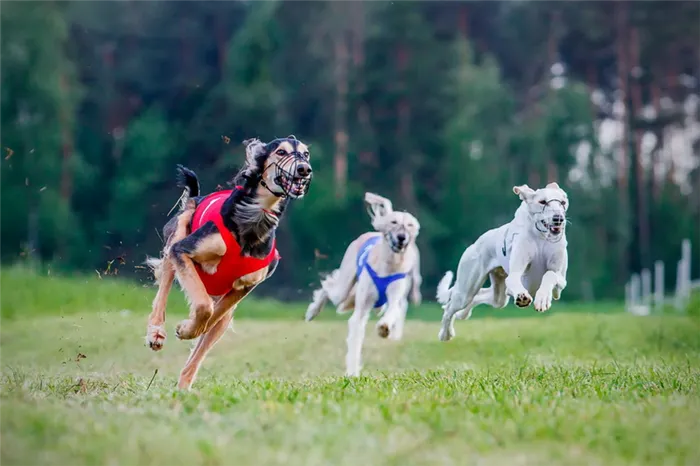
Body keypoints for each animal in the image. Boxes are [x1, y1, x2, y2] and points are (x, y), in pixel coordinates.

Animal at [145, 136, 312, 390]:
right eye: (281, 152)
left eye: (306, 154)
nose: (304, 169)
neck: (255, 218)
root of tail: (196, 197)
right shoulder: (183, 251)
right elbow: (204, 307)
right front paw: (184, 329)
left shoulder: (245, 287)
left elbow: (211, 315)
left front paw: (187, 328)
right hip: (176, 239)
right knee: (163, 293)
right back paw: (156, 333)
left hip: (225, 315)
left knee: (202, 345)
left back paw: (184, 388)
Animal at [438, 183, 568, 342]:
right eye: (542, 202)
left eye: (563, 202)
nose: (558, 218)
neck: (541, 237)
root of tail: (475, 243)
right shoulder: (517, 276)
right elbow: (517, 280)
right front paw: (524, 297)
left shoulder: (561, 281)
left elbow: (550, 275)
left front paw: (542, 299)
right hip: (465, 291)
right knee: (449, 308)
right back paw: (445, 334)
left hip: (498, 296)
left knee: (481, 296)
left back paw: (463, 314)